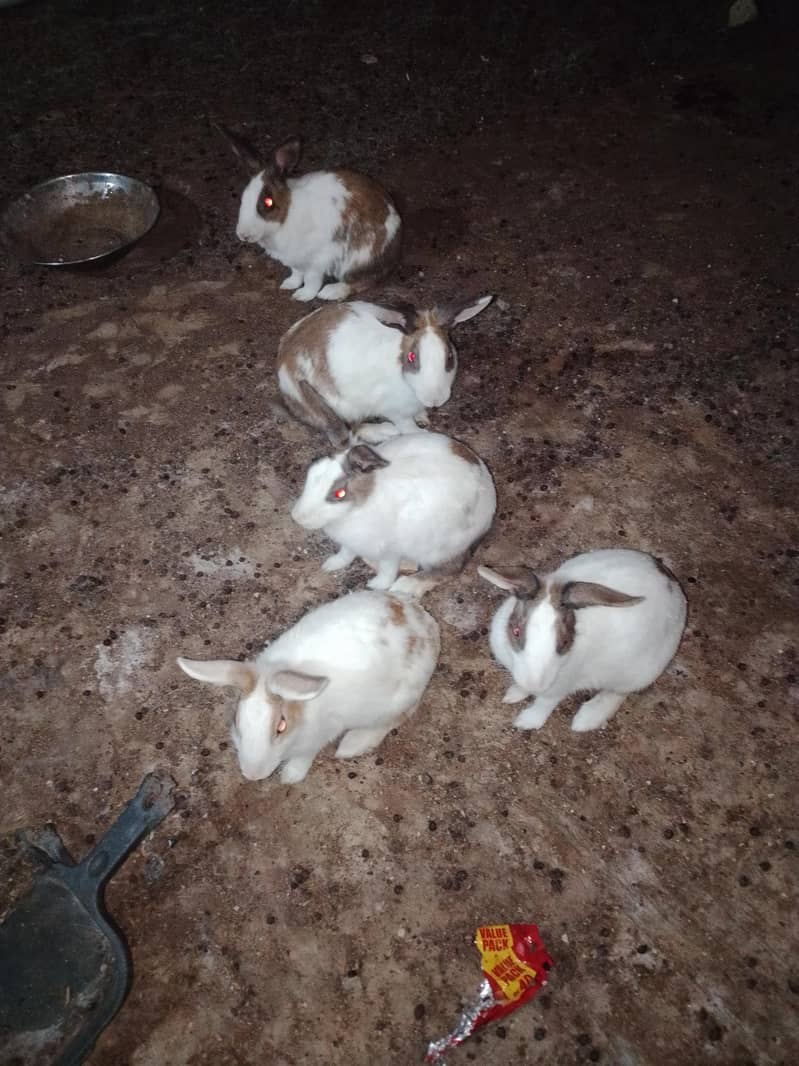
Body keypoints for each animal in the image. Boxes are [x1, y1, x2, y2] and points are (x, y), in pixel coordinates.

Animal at [177, 590, 439, 784]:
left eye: (281, 726)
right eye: (236, 720)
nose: (252, 775)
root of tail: (423, 620)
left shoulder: (323, 733)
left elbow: (305, 755)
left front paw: (291, 776)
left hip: (396, 702)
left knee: (393, 720)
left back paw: (352, 745)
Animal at [216, 123, 401, 302]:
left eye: (269, 202)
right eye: (243, 197)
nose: (243, 235)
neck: (287, 215)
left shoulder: (317, 260)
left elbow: (312, 280)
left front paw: (303, 296)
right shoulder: (295, 260)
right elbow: (296, 273)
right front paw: (289, 285)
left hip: (359, 259)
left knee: (361, 282)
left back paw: (331, 292)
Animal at [277, 294, 493, 443]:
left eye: (450, 356)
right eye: (412, 357)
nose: (435, 400)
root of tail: (283, 360)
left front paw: (423, 417)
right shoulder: (396, 412)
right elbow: (408, 428)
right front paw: (422, 431)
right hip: (331, 407)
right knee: (349, 432)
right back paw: (385, 432)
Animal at [291, 432, 497, 593]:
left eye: (339, 493)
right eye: (310, 473)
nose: (297, 517)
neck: (360, 505)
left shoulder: (390, 550)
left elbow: (387, 571)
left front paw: (376, 585)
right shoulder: (351, 543)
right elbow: (345, 554)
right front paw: (331, 565)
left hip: (441, 550)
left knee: (448, 571)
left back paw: (405, 586)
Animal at [478, 548, 687, 732]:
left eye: (564, 642)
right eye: (516, 632)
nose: (534, 685)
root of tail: (676, 588)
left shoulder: (560, 687)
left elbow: (544, 704)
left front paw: (526, 722)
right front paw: (514, 693)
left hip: (637, 673)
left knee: (618, 693)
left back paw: (586, 719)